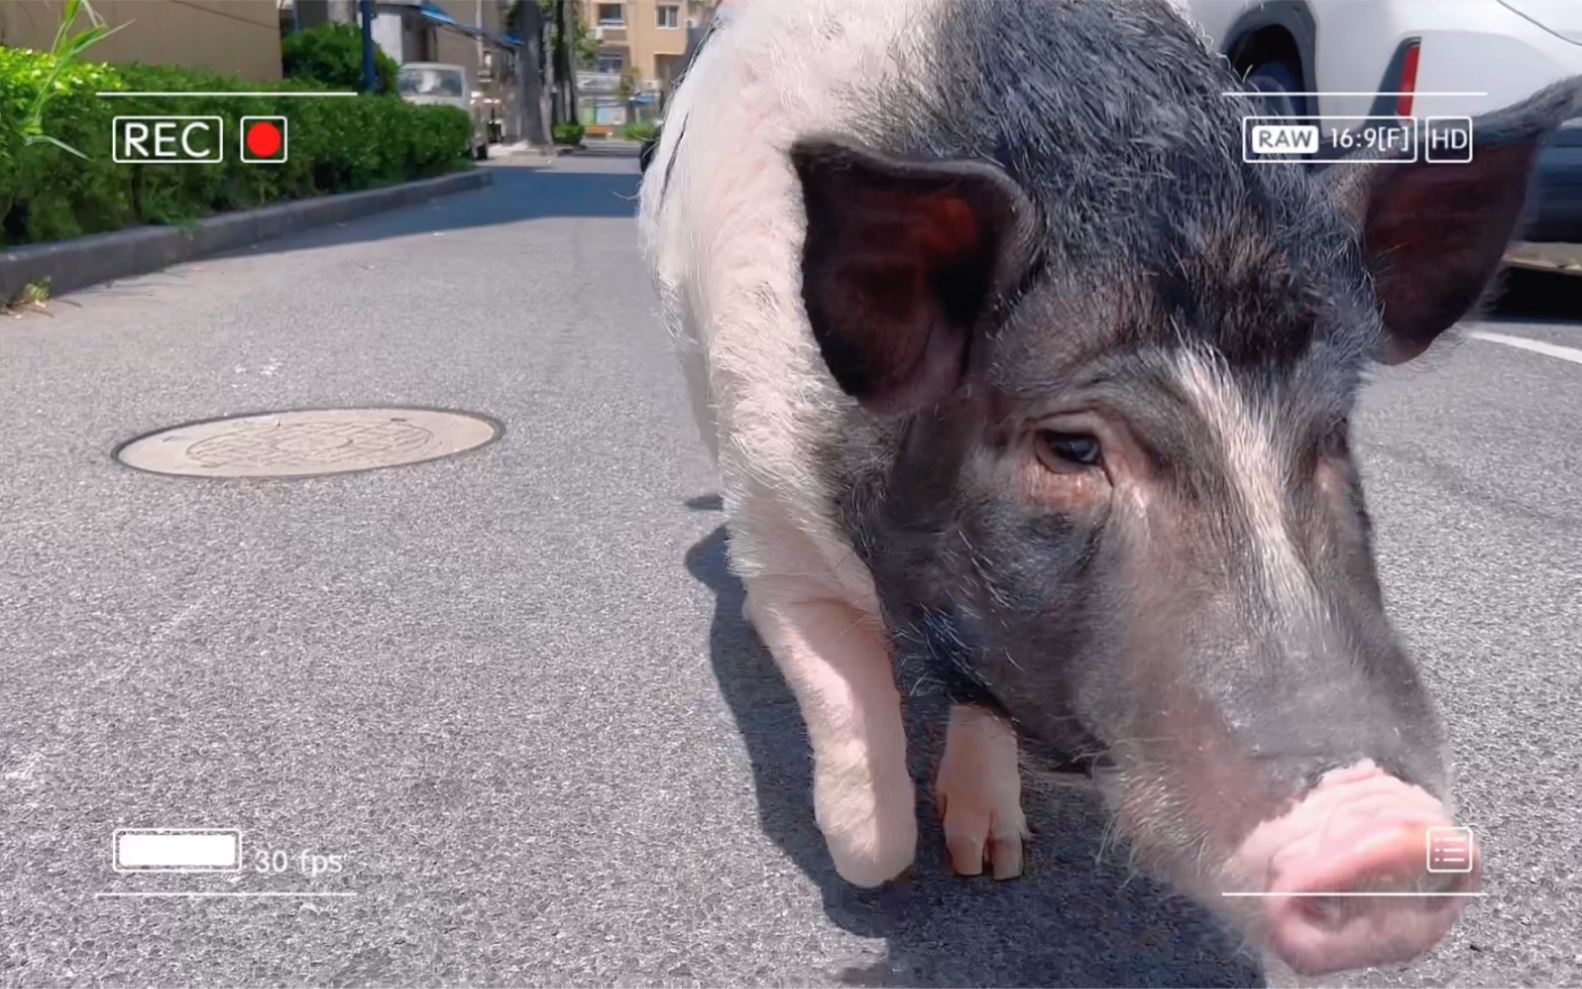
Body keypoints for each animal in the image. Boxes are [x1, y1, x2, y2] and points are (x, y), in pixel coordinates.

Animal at [635, 0, 1575, 974]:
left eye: (1331, 433)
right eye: (1072, 446)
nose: (1383, 831)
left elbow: (983, 692)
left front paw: (993, 858)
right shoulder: (776, 516)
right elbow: (865, 799)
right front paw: (891, 881)